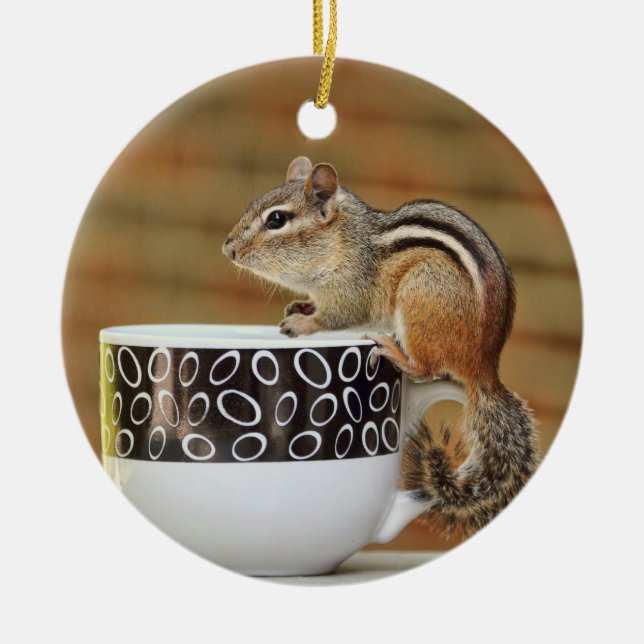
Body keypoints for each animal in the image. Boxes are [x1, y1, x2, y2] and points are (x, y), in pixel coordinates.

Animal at [222, 156, 539, 537]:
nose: (228, 249)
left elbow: (340, 316)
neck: (343, 241)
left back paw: (389, 347)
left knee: (425, 368)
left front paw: (302, 323)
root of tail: (484, 368)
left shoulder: (352, 289)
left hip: (421, 294)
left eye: (276, 220)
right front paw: (300, 307)